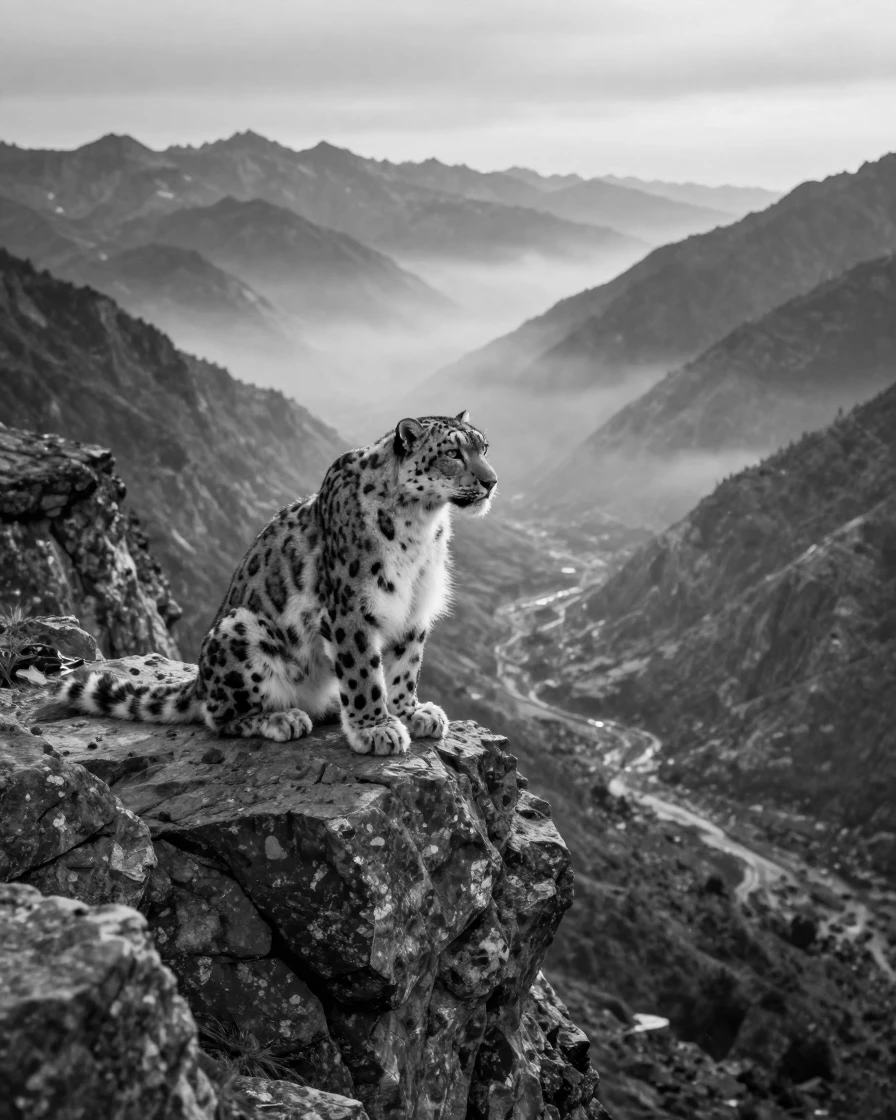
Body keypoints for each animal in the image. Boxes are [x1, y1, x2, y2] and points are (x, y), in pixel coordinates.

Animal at [45, 412, 497, 756]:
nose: (491, 481)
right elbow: (363, 673)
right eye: (453, 453)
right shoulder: (351, 609)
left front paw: (410, 711)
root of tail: (200, 680)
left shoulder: (415, 607)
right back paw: (284, 718)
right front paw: (375, 728)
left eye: (484, 447)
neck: (422, 528)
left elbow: (407, 665)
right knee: (219, 715)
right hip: (240, 631)